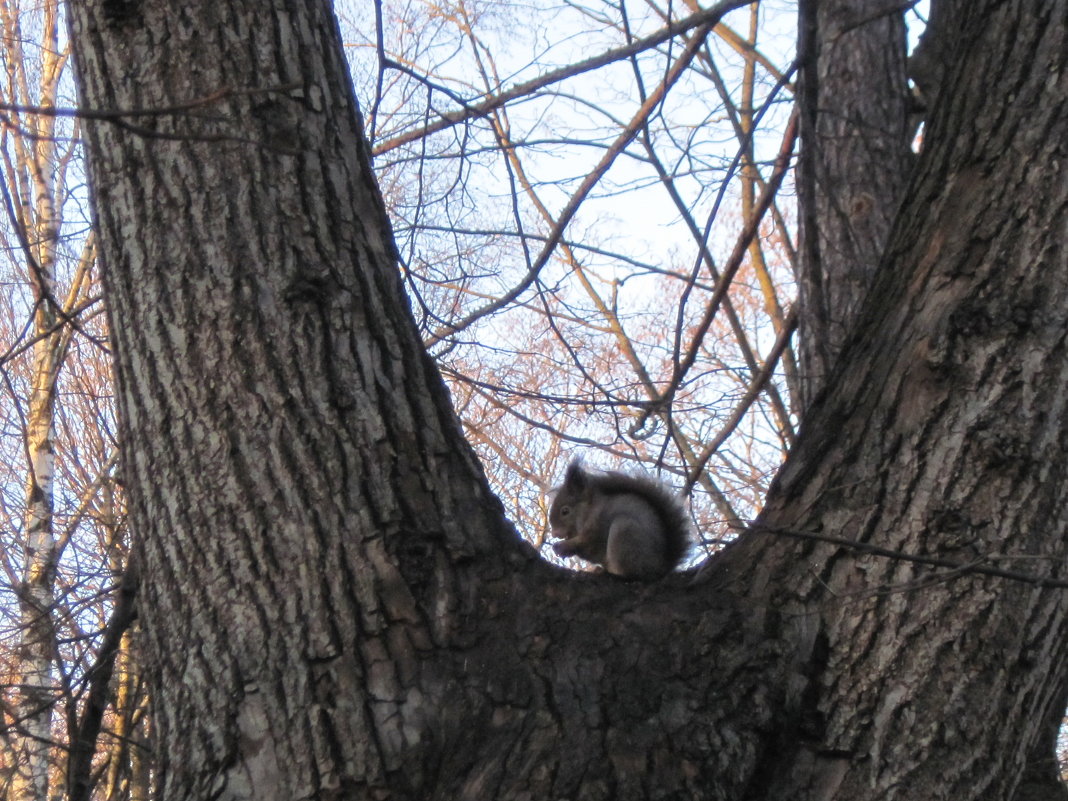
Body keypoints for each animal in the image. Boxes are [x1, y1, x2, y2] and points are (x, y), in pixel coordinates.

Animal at [551, 461, 692, 580]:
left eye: (565, 511)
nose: (554, 534)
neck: (589, 511)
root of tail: (660, 568)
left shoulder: (597, 526)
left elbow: (587, 543)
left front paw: (562, 546)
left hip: (624, 531)